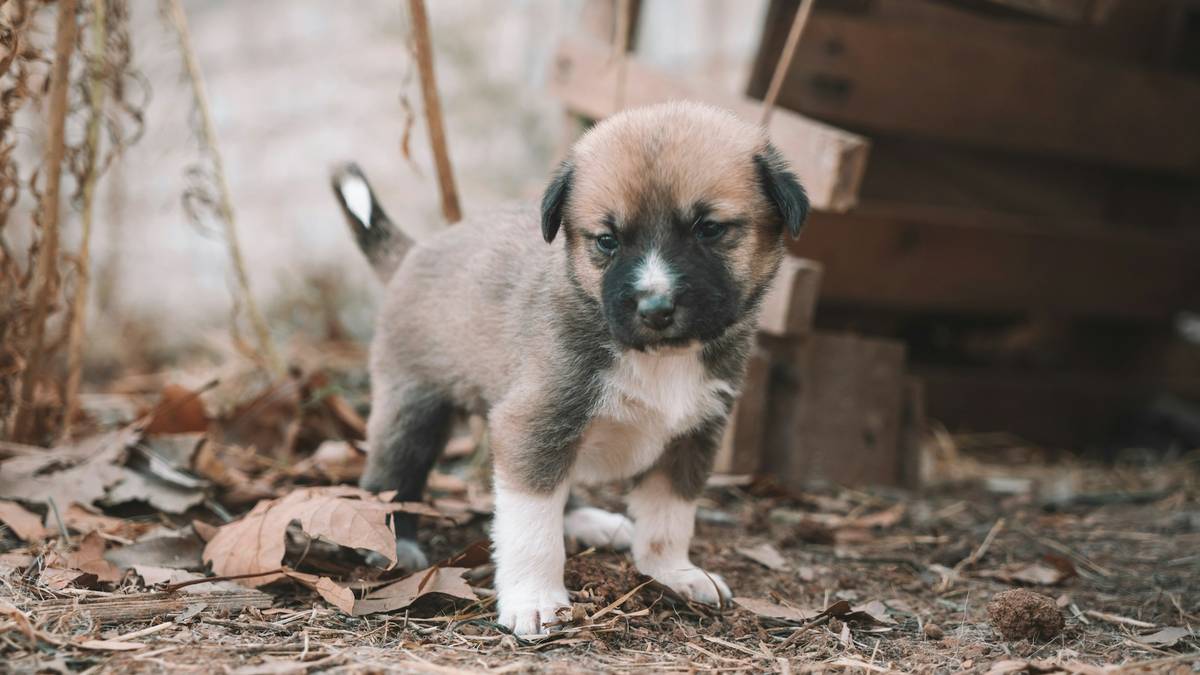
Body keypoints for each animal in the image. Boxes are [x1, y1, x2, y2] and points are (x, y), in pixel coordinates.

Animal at [333, 102, 811, 634]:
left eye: (709, 229)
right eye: (607, 240)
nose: (655, 309)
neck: (657, 357)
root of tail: (413, 251)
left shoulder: (691, 435)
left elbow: (668, 518)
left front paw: (673, 573)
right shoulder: (535, 421)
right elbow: (531, 529)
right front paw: (534, 599)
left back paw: (591, 522)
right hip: (413, 410)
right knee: (392, 476)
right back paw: (391, 543)